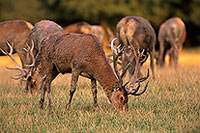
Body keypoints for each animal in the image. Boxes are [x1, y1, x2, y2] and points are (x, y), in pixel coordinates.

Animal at [0, 32, 149, 111]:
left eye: (127, 98)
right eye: (122, 97)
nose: (124, 111)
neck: (94, 60)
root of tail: (43, 41)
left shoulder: (92, 75)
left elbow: (94, 91)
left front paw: (96, 108)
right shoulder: (76, 66)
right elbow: (72, 89)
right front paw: (67, 107)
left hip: (56, 69)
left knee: (45, 82)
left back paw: (41, 105)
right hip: (47, 62)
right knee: (46, 82)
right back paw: (49, 106)